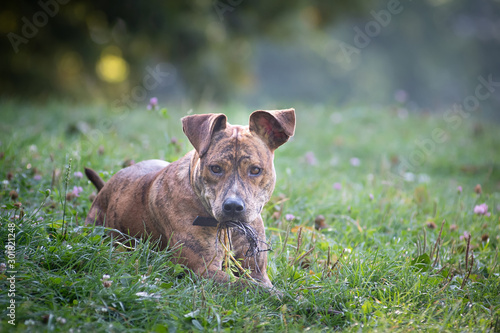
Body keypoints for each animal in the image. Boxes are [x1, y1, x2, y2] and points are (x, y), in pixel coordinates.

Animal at [85, 108, 294, 288]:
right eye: (215, 168)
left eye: (255, 170)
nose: (233, 206)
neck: (228, 228)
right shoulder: (204, 270)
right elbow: (252, 288)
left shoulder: (257, 271)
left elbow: (263, 286)